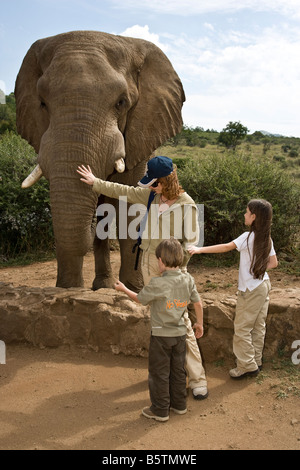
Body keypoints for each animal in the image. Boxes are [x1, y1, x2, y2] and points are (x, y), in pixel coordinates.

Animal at [16, 31, 186, 290]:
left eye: (121, 102)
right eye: (42, 103)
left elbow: (131, 206)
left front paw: (133, 290)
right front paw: (68, 290)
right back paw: (101, 286)